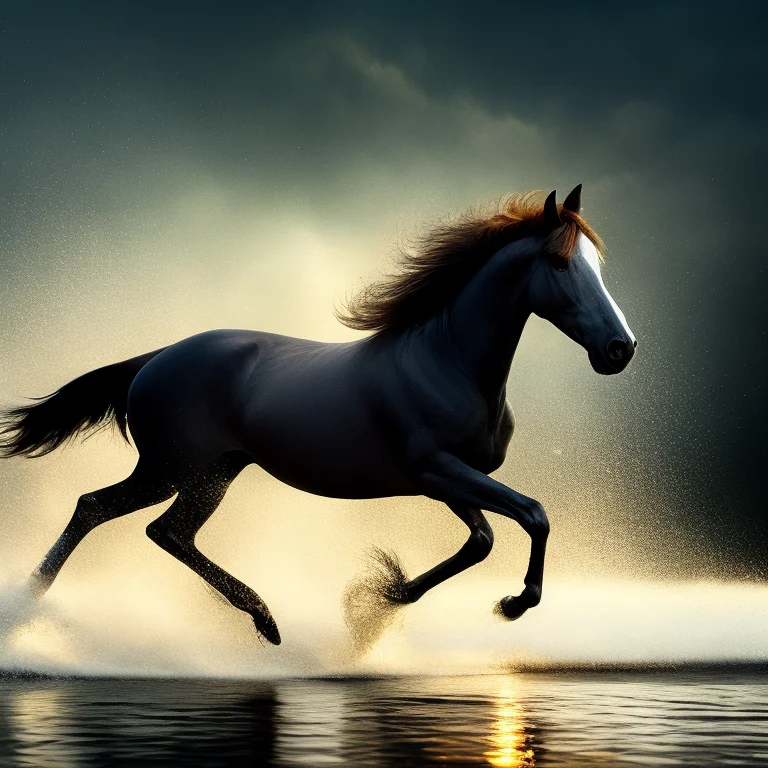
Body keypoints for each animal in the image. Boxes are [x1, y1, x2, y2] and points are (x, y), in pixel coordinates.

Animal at [0, 185, 636, 647]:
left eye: (598, 263)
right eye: (559, 263)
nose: (619, 350)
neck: (446, 360)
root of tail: (155, 358)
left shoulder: (445, 478)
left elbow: (479, 539)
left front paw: (380, 601)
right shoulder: (434, 468)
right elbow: (533, 514)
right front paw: (514, 603)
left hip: (213, 473)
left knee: (165, 531)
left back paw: (266, 622)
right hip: (170, 469)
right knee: (98, 509)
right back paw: (30, 606)